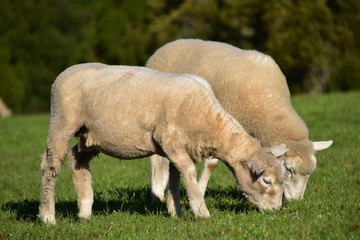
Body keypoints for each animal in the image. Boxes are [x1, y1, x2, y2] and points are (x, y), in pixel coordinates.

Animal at [38, 62, 286, 224]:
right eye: (266, 181)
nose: (276, 211)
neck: (206, 119)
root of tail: (66, 71)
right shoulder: (171, 141)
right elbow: (189, 174)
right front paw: (201, 212)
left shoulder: (177, 148)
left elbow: (175, 178)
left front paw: (176, 211)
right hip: (62, 122)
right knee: (50, 167)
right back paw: (48, 216)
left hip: (90, 135)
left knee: (77, 159)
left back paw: (84, 210)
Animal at [146, 39, 332, 201]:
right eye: (289, 169)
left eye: (310, 172)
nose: (296, 201)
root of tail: (169, 44)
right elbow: (212, 163)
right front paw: (200, 190)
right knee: (155, 157)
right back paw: (156, 195)